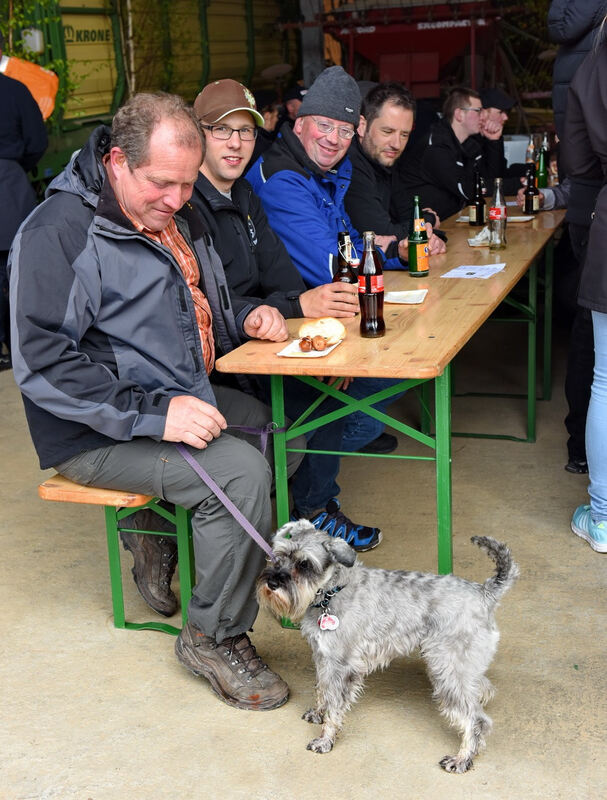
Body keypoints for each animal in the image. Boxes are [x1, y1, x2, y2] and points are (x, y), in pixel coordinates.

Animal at [255, 520, 516, 776]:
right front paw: (319, 713)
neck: (331, 591)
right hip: (460, 666)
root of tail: (484, 593)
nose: (272, 582)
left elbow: (335, 703)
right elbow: (323, 689)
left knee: (476, 719)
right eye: (278, 556)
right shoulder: (323, 658)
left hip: (448, 670)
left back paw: (462, 758)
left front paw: (325, 739)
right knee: (481, 688)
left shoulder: (342, 666)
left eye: (304, 564)